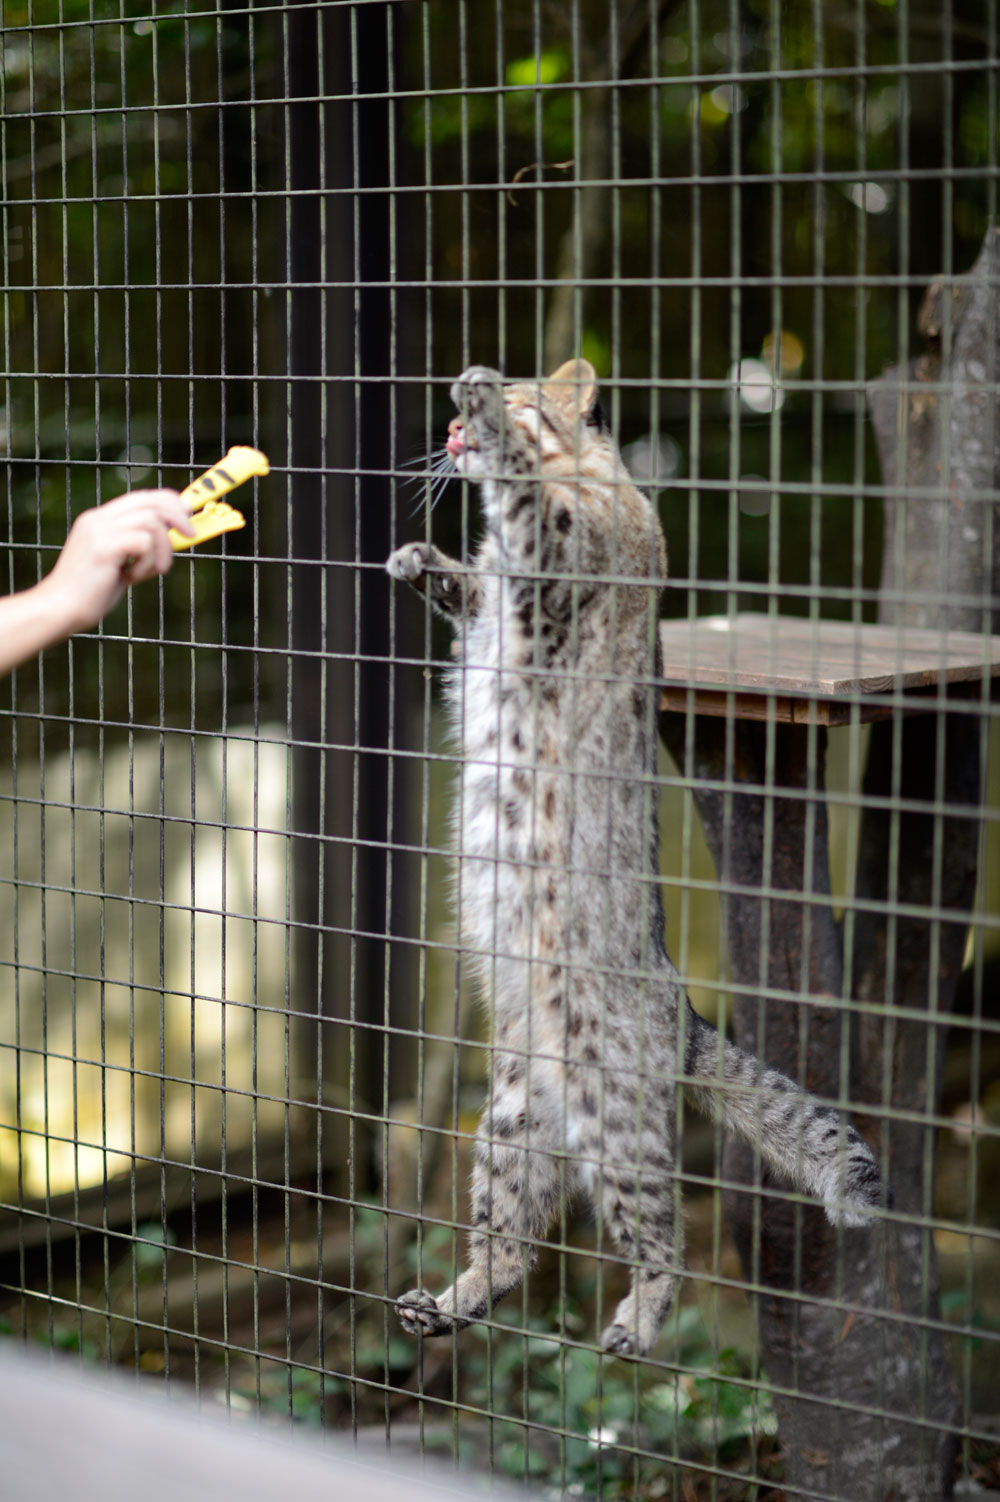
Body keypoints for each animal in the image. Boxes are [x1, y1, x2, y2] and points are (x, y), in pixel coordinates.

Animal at [382, 357, 882, 1357]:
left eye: (526, 393)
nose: (448, 437)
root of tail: (683, 1007)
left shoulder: (553, 564)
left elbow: (525, 499)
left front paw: (483, 410)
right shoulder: (497, 606)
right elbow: (474, 589)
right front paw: (424, 560)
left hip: (611, 1114)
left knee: (663, 1233)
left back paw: (640, 1317)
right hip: (509, 1121)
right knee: (511, 1245)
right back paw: (450, 1299)